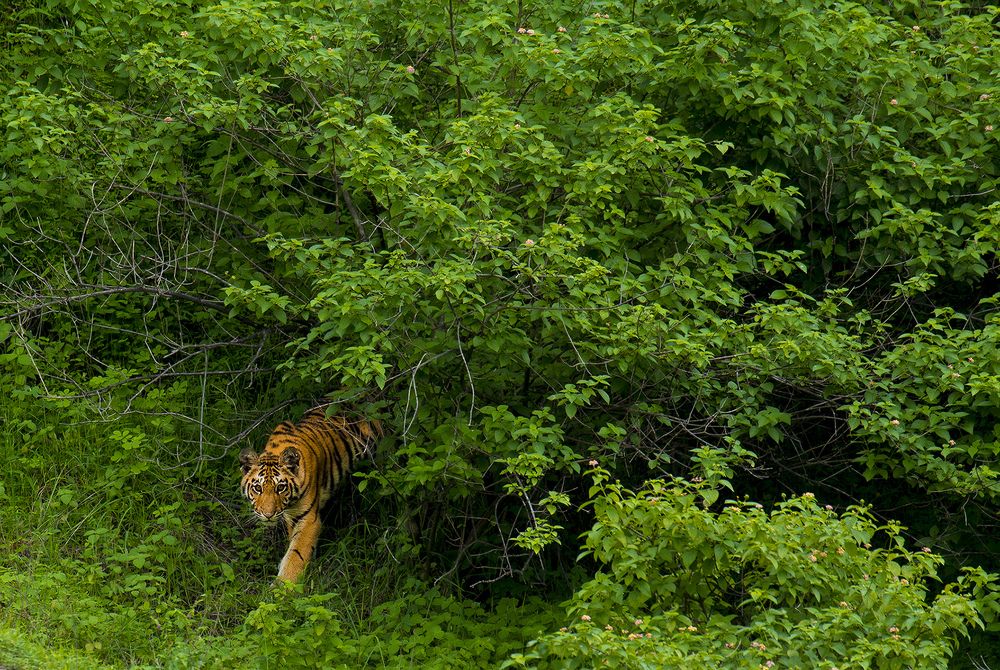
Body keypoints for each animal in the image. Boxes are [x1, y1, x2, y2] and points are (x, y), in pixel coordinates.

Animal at [239, 407, 382, 583]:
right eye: (258, 488)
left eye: (280, 487)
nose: (268, 514)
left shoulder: (308, 520)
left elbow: (296, 554)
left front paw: (282, 586)